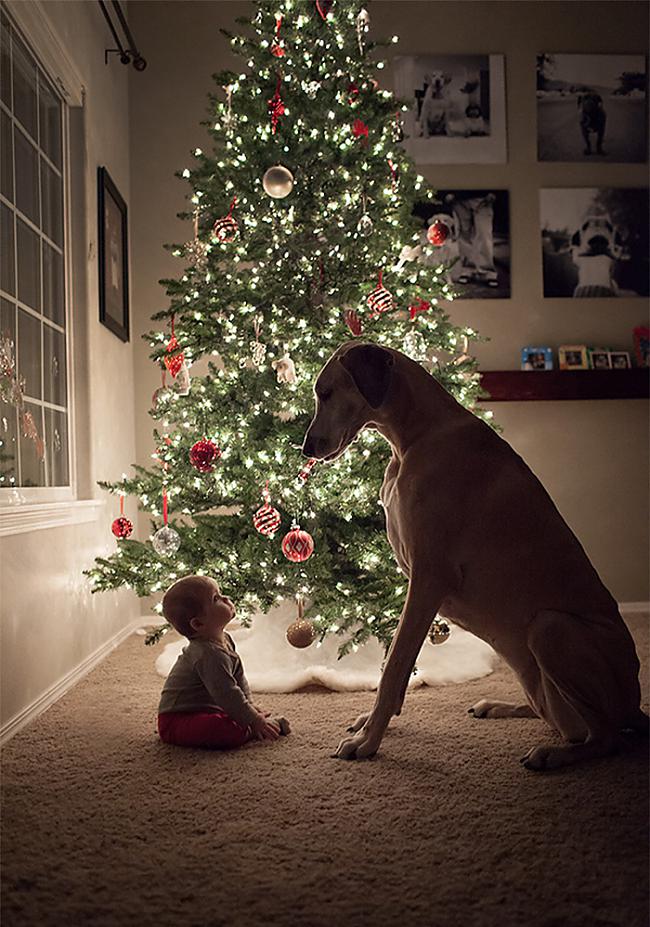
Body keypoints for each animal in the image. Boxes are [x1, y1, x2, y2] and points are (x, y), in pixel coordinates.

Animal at [300, 344, 644, 772]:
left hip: (550, 628)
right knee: (560, 719)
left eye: (326, 392)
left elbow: (395, 666)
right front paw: (372, 725)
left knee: (606, 738)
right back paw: (498, 706)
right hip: (539, 679)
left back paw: (553, 755)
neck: (415, 434)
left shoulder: (429, 578)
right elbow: (397, 668)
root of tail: (636, 707)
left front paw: (369, 741)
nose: (305, 448)